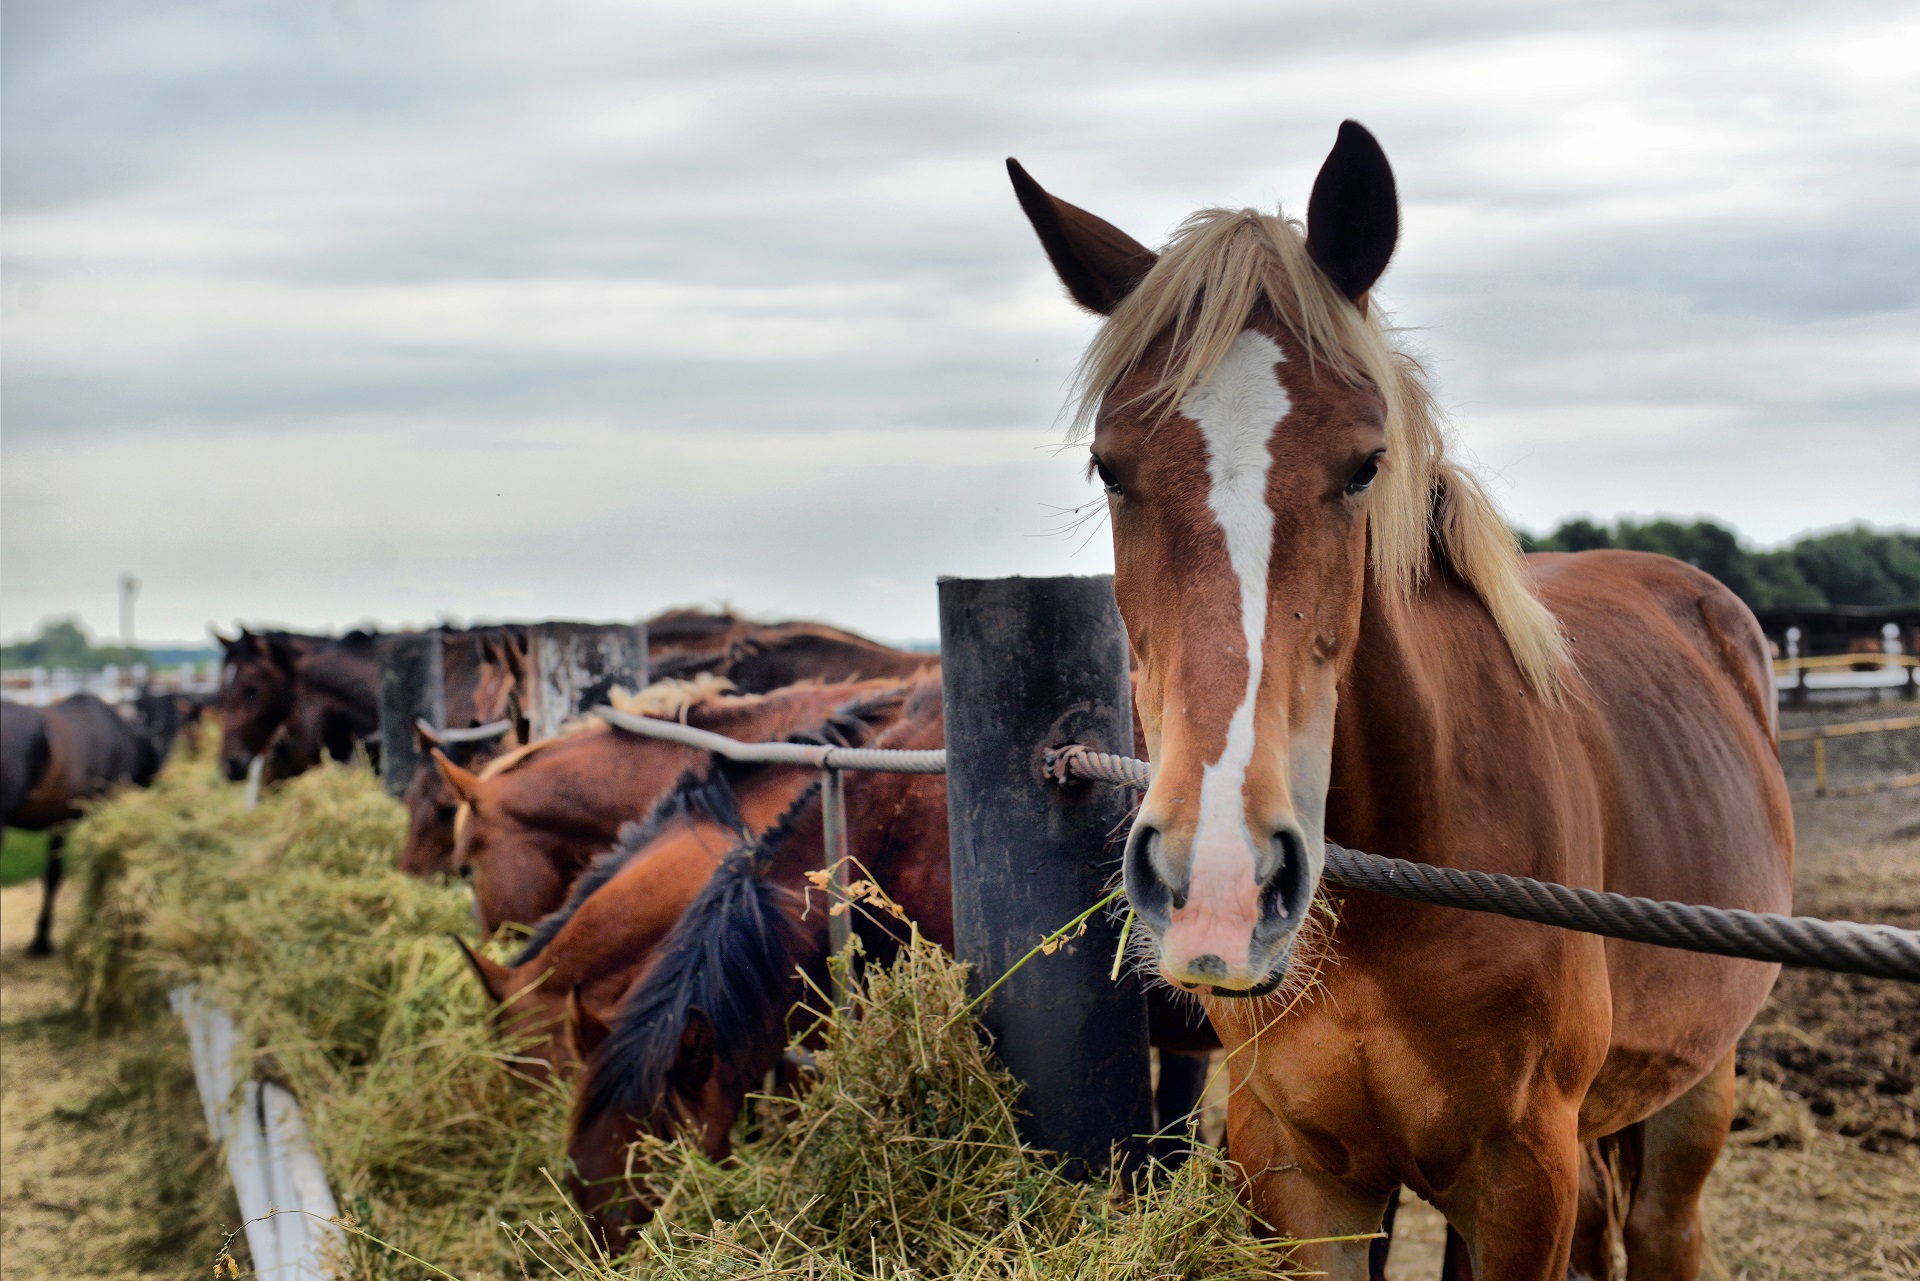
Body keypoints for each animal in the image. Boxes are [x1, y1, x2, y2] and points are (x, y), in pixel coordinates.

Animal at [1007, 121, 1791, 1278]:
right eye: (1110, 466)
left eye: (1365, 464)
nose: (1222, 882)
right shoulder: (1297, 1171)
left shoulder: (1522, 1179)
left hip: (1699, 1084)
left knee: (1664, 1230)